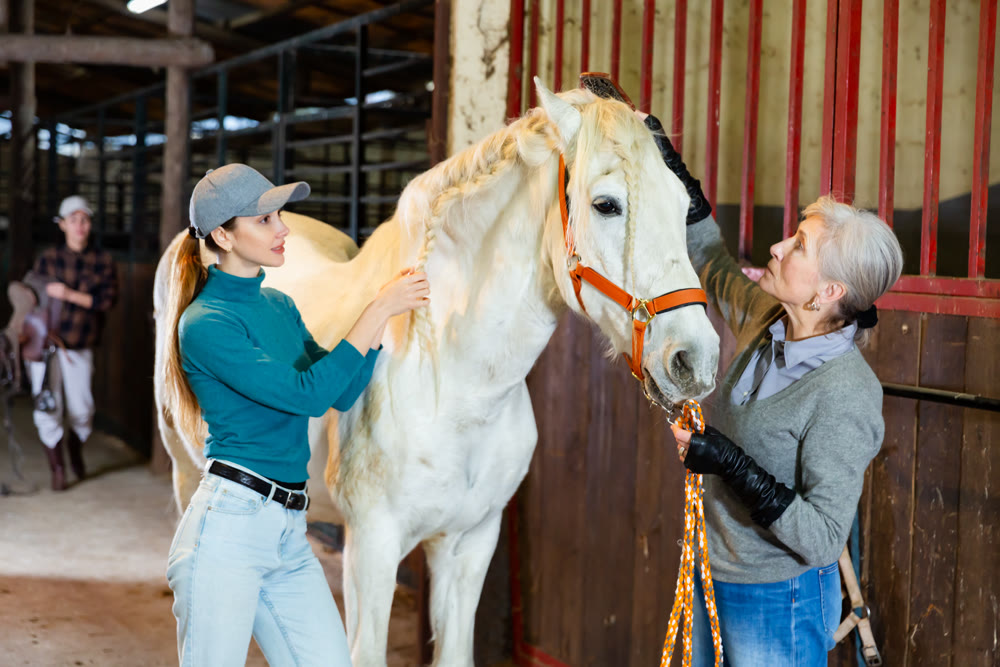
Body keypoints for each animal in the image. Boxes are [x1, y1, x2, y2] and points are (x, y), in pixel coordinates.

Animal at [153, 79, 721, 666]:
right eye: (606, 204)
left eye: (685, 206)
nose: (696, 359)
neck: (451, 389)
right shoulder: (373, 550)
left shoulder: (470, 543)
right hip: (185, 469)